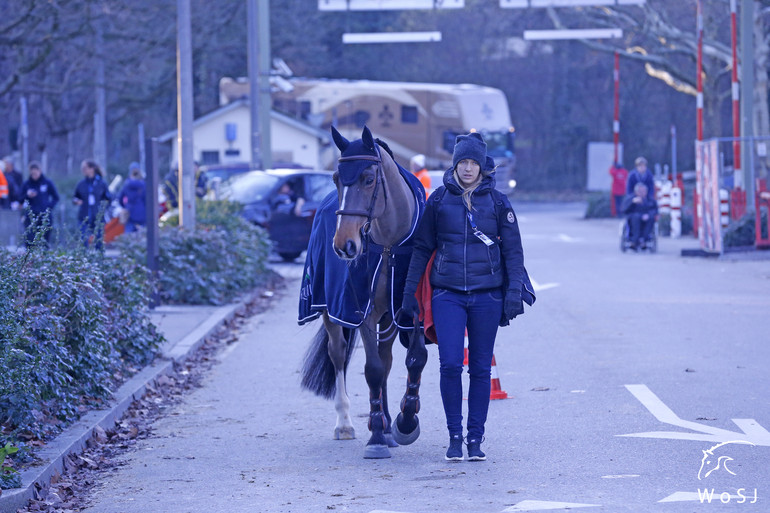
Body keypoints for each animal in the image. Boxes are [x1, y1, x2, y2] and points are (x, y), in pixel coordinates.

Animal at [298, 126, 426, 458]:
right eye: (335, 178)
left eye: (369, 178)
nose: (344, 245)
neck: (389, 245)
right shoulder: (362, 310)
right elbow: (373, 369)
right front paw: (378, 435)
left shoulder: (406, 309)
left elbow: (412, 359)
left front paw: (404, 421)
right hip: (328, 307)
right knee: (338, 353)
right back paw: (346, 422)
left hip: (387, 316)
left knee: (387, 358)